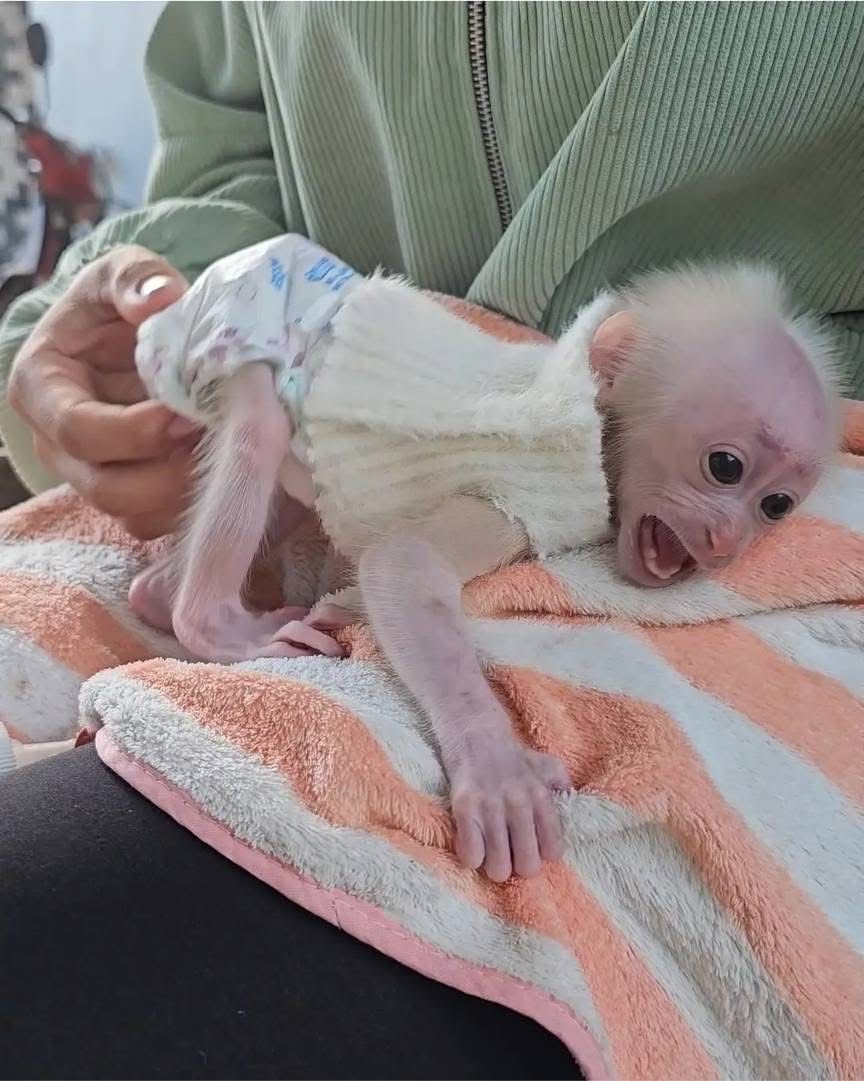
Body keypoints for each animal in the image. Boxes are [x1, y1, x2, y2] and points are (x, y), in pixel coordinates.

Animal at [130, 236, 843, 882]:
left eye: (775, 505)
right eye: (725, 466)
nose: (727, 541)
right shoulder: (532, 485)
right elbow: (405, 561)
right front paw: (498, 769)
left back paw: (156, 596)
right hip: (234, 321)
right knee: (261, 428)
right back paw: (210, 624)